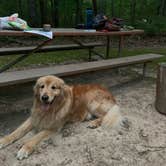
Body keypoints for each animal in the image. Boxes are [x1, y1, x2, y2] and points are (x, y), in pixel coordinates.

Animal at [0, 75, 128, 160]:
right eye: (42, 86)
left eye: (53, 87)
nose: (44, 97)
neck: (50, 110)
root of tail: (109, 93)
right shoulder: (34, 117)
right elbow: (17, 131)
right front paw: (3, 140)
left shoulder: (53, 127)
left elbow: (35, 137)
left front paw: (25, 149)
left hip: (92, 101)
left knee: (107, 115)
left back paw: (94, 123)